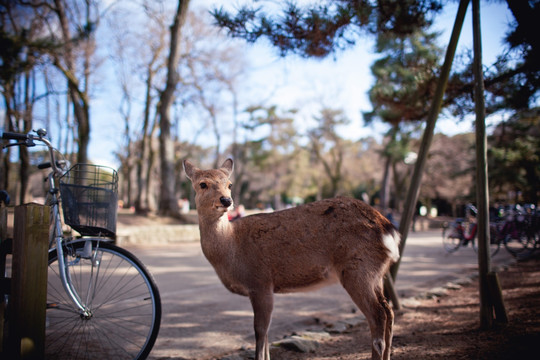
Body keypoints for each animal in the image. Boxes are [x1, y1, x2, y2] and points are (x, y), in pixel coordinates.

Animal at [184, 160, 398, 360]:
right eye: (202, 184)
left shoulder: (260, 281)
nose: (226, 200)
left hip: (357, 268)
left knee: (378, 315)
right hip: (376, 273)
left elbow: (259, 331)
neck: (232, 250)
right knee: (389, 310)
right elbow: (266, 333)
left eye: (229, 184)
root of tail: (387, 228)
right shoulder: (265, 287)